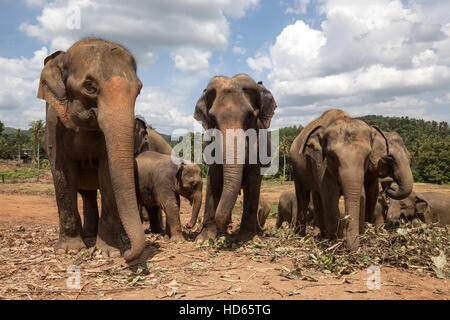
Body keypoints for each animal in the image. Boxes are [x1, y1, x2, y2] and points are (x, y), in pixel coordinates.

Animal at [38, 37, 146, 262]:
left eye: (139, 90)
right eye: (90, 86)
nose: (128, 253)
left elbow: (107, 174)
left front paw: (111, 251)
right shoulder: (53, 121)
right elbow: (62, 172)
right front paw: (69, 250)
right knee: (86, 194)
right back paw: (87, 235)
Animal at [194, 74, 278, 241]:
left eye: (250, 116)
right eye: (212, 118)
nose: (228, 229)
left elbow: (253, 180)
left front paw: (246, 237)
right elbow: (214, 177)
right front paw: (204, 238)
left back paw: (257, 231)